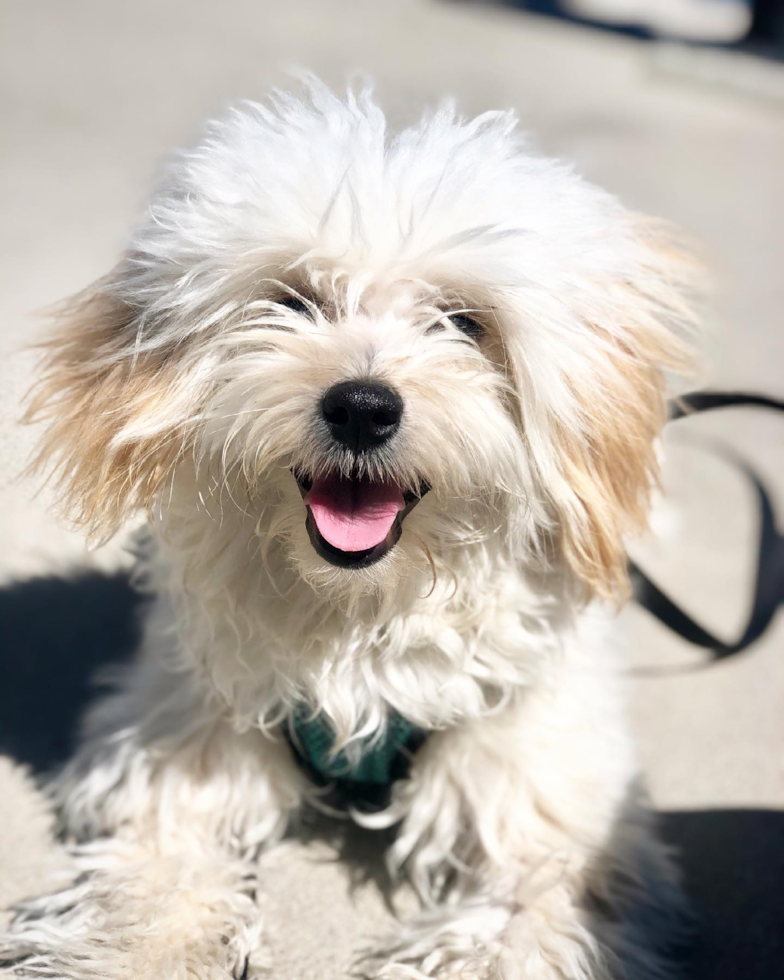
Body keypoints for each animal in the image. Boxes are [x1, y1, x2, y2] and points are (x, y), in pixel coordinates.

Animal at [1, 80, 700, 976]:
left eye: (463, 323)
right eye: (294, 300)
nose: (362, 407)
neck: (358, 614)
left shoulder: (551, 807)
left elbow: (525, 917)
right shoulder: (186, 745)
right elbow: (154, 880)